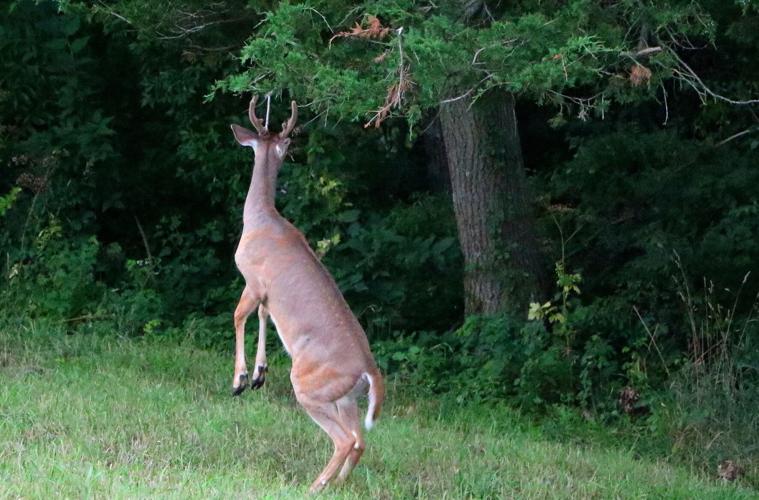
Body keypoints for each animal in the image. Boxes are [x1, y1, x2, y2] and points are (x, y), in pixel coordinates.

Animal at [228, 96, 385, 493]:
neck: (261, 218)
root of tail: (369, 370)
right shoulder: (267, 294)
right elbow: (263, 316)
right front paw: (259, 373)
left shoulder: (253, 277)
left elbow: (239, 316)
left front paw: (240, 379)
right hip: (344, 397)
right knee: (359, 440)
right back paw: (336, 484)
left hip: (309, 385)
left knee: (344, 439)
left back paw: (315, 486)